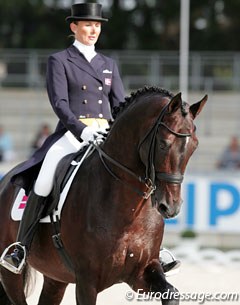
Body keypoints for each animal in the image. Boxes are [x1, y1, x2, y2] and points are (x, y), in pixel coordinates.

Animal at [0, 86, 206, 304]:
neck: (130, 210)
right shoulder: (87, 281)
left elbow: (171, 293)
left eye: (194, 146)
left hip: (56, 276)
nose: (171, 206)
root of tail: (6, 181)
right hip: (11, 274)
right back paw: (16, 255)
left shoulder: (142, 273)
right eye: (163, 144)